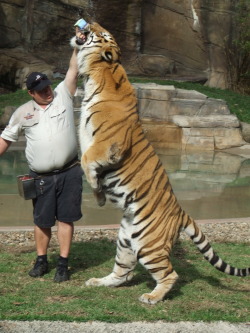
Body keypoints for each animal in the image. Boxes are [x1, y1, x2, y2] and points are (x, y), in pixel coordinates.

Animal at [71, 21, 250, 304]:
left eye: (103, 33)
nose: (89, 21)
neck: (99, 72)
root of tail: (181, 211)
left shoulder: (108, 144)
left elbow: (86, 160)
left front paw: (96, 190)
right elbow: (85, 162)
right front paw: (98, 195)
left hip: (149, 244)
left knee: (169, 274)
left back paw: (152, 297)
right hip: (125, 240)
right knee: (123, 273)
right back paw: (98, 282)